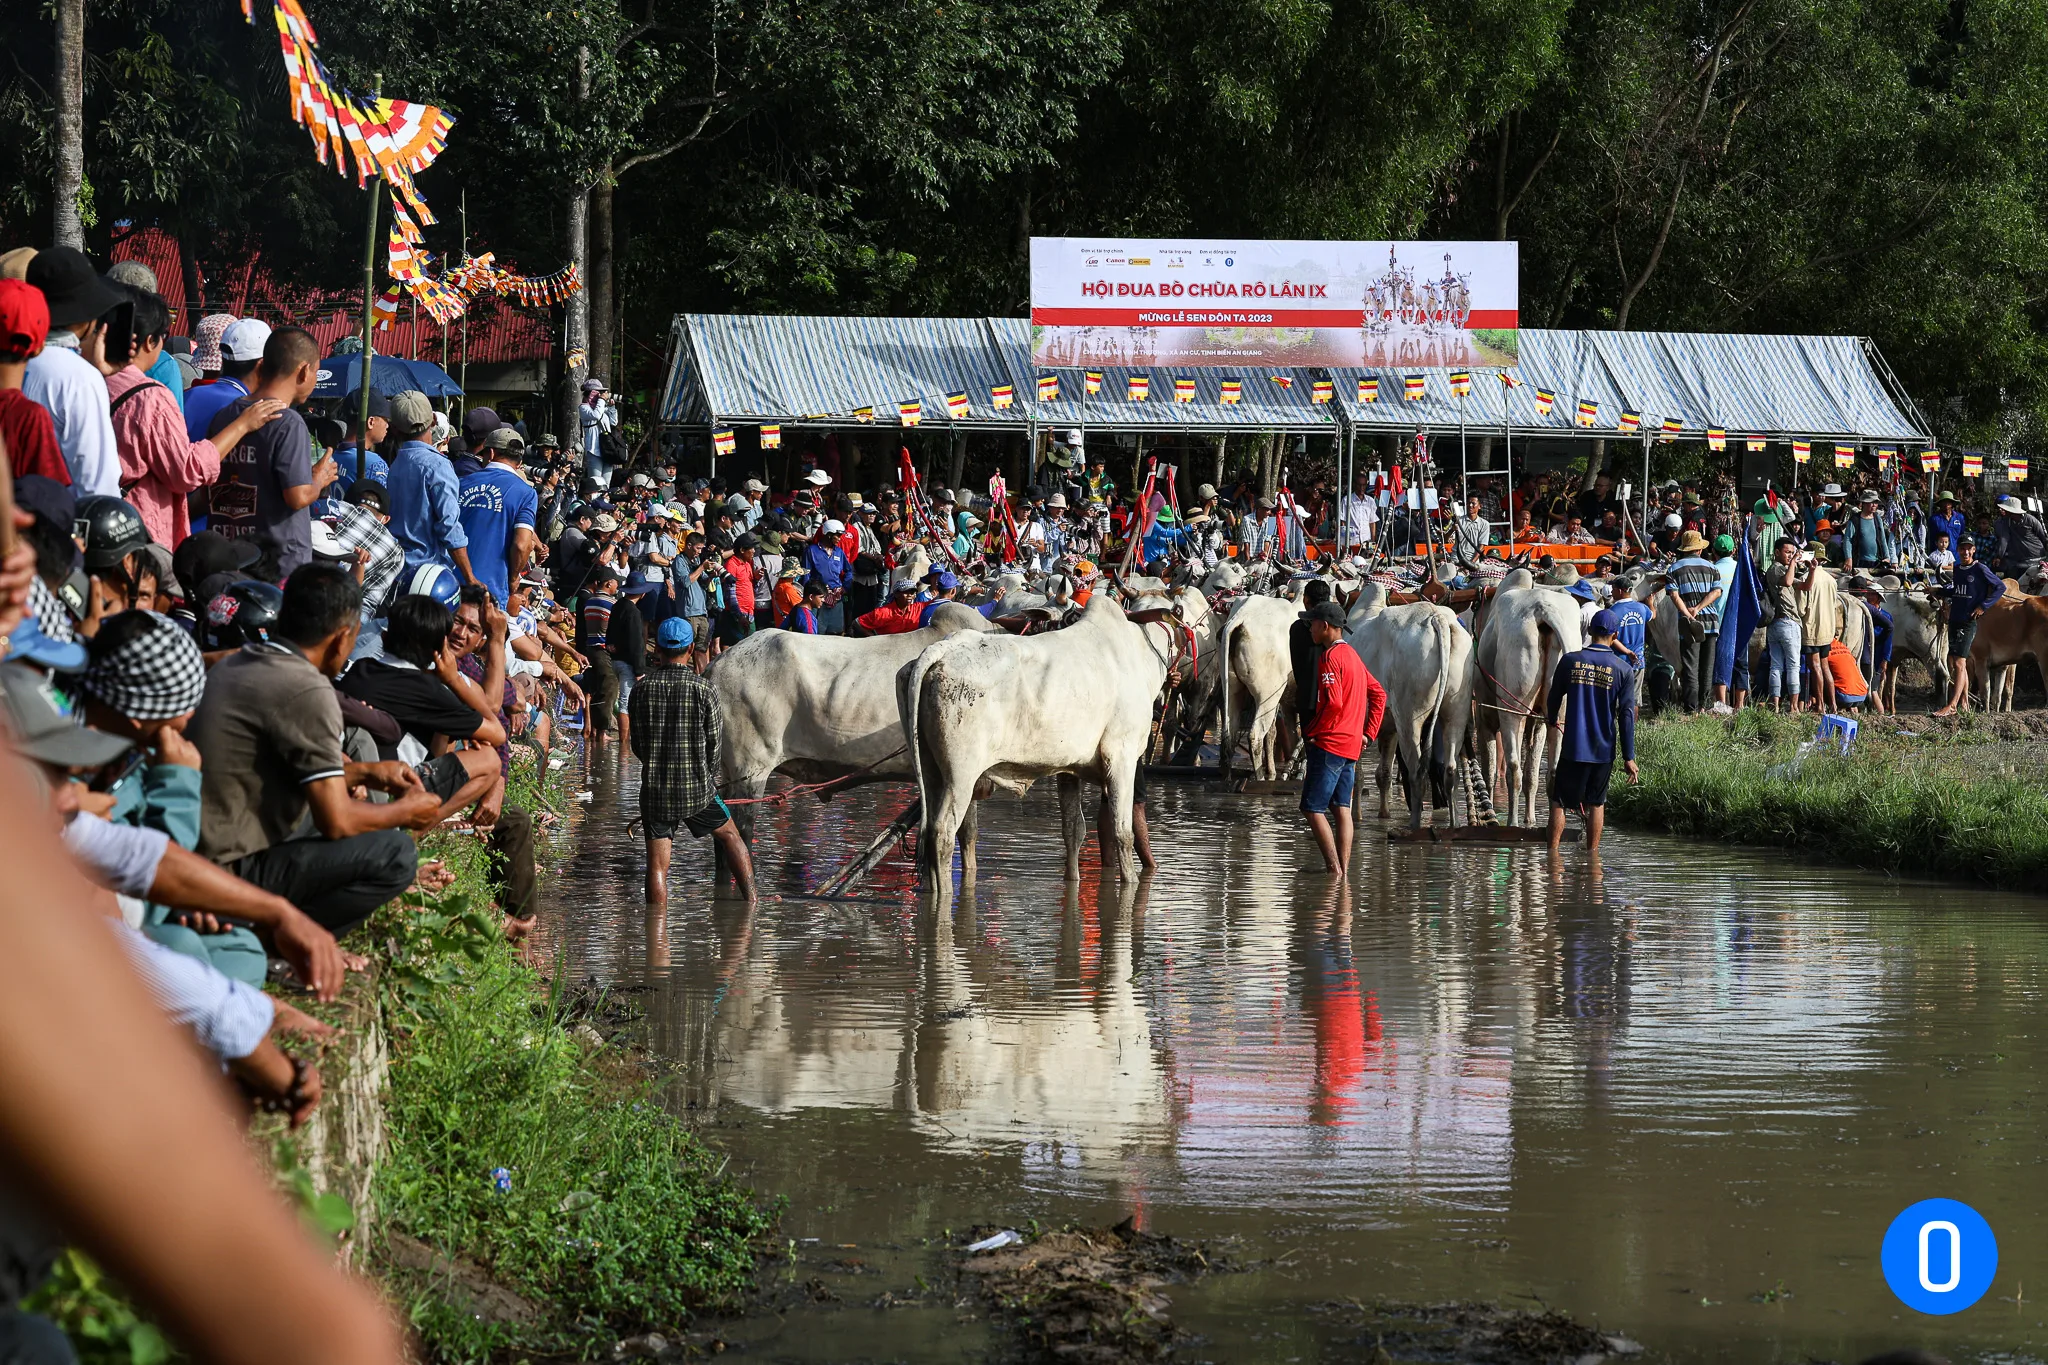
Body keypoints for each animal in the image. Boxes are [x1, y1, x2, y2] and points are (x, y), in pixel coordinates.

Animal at [901, 597, 1187, 888]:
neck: (1139, 655)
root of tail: (942, 649)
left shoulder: (1070, 770)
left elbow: (1073, 831)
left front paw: (1072, 879)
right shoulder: (1122, 759)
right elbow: (1123, 833)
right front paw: (1130, 882)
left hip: (930, 771)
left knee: (930, 832)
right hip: (960, 775)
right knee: (943, 834)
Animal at [1212, 597, 1294, 777]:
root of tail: (1239, 619)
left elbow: (1274, 733)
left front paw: (1272, 769)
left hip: (1232, 688)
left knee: (1229, 737)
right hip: (1267, 694)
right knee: (1255, 737)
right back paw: (1260, 776)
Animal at [1343, 581, 1474, 826]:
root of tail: (1436, 617)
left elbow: (1358, 774)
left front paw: (1356, 816)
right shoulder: (1388, 727)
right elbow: (1383, 774)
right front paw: (1384, 814)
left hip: (1409, 717)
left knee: (1416, 773)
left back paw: (1414, 825)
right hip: (1457, 709)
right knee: (1450, 770)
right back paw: (1454, 825)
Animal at [1474, 573, 1581, 826]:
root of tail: (1543, 610)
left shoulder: (1483, 717)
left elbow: (1489, 771)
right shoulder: (1539, 719)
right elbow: (1532, 773)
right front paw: (1530, 819)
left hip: (1512, 709)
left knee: (1514, 768)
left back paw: (1512, 822)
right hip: (1557, 713)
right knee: (1551, 772)